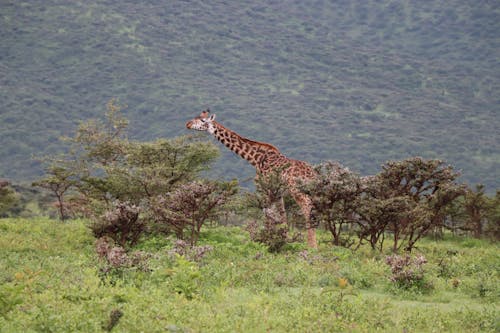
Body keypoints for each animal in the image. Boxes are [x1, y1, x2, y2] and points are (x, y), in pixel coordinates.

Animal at [186, 109, 318, 246]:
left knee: (307, 210)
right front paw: (284, 241)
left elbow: (268, 216)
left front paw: (268, 241)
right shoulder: (278, 193)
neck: (255, 159)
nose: (188, 124)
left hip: (297, 191)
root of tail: (312, 174)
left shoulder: (265, 189)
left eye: (202, 120)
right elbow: (282, 217)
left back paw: (312, 246)